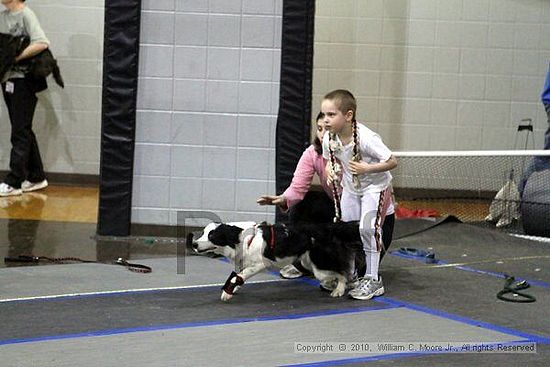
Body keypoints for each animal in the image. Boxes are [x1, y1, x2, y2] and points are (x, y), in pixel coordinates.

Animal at [192, 221, 368, 302]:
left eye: (212, 236)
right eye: (204, 232)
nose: (194, 244)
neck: (240, 239)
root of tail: (332, 227)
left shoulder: (259, 264)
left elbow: (240, 275)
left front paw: (227, 293)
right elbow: (236, 276)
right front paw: (231, 289)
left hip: (319, 265)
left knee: (343, 272)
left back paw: (338, 290)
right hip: (309, 262)